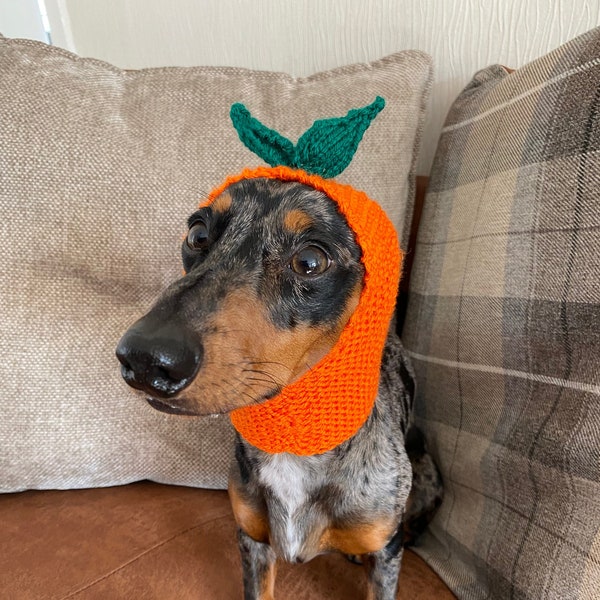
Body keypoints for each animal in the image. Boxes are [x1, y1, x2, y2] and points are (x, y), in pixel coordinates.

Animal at [115, 176, 440, 596]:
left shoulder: (386, 552)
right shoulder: (253, 540)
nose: (142, 358)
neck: (293, 444)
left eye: (310, 261)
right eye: (197, 234)